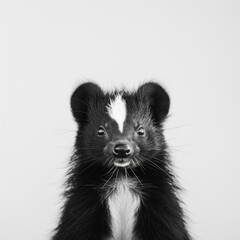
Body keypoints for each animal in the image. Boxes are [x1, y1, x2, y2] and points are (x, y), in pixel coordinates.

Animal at [52, 81, 191, 240]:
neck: (122, 178)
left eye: (141, 130)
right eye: (100, 130)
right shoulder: (82, 208)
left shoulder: (162, 207)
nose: (122, 149)